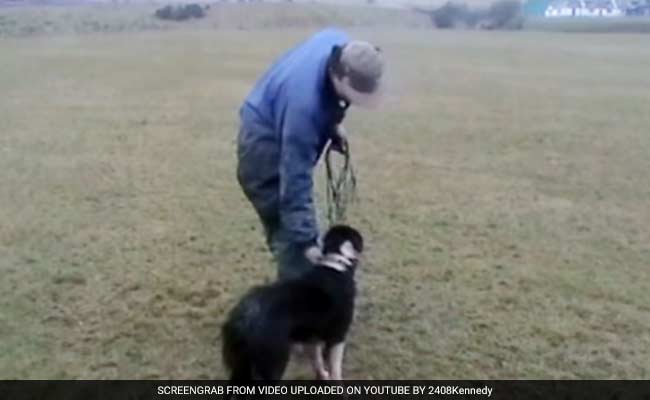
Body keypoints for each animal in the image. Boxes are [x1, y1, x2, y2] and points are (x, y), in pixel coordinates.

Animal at [221, 225, 364, 382]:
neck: (336, 263)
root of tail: (243, 319)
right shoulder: (338, 337)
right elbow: (336, 370)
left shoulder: (313, 338)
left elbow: (317, 361)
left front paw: (322, 376)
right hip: (272, 364)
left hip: (242, 366)